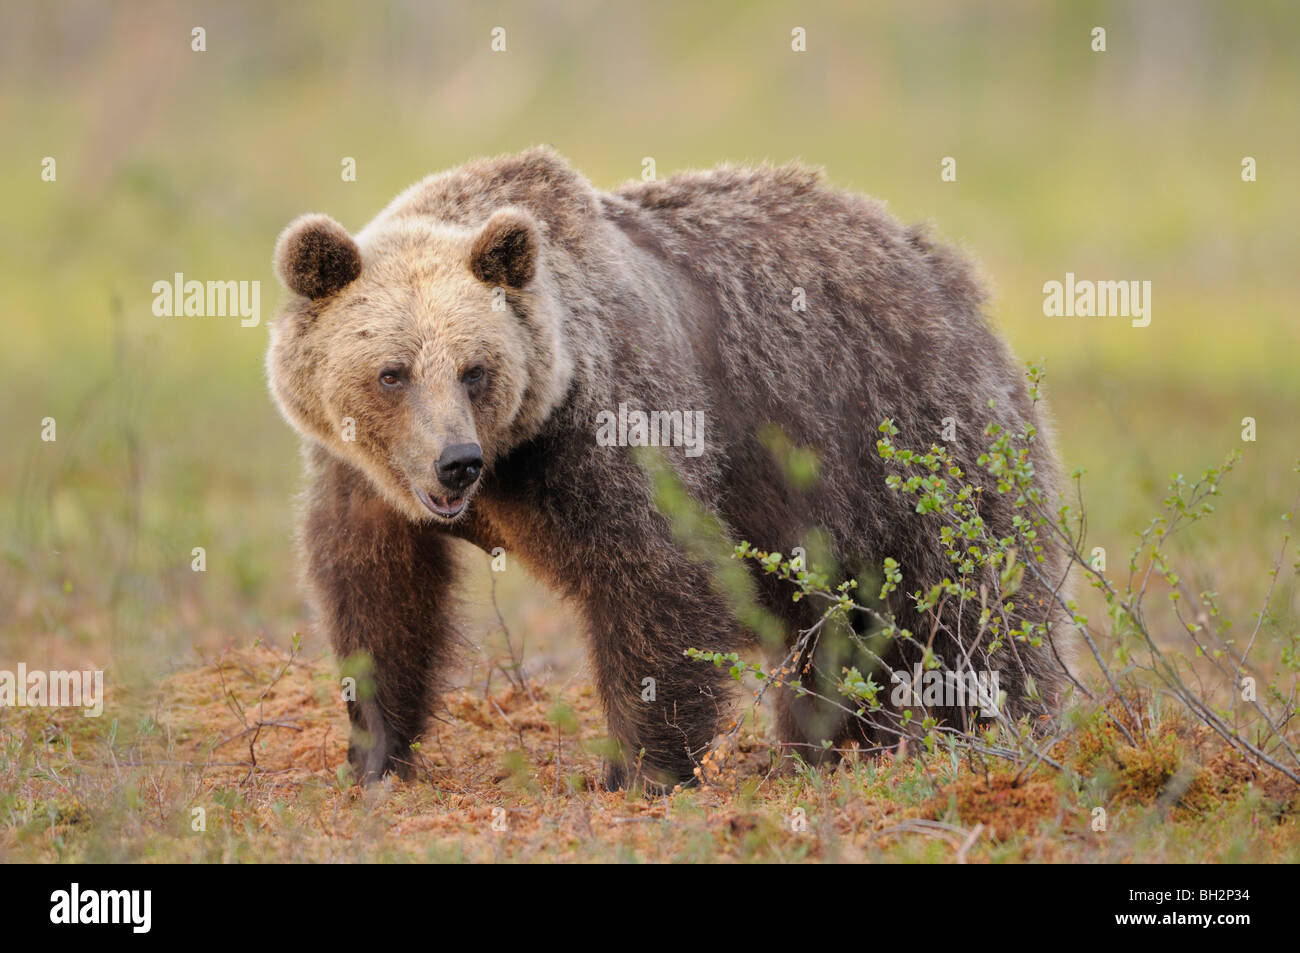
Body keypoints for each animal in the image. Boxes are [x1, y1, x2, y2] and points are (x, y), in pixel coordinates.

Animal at [263, 148, 1066, 790]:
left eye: (474, 370)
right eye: (391, 372)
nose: (456, 463)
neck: (518, 452)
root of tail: (936, 261)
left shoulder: (616, 424)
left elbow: (659, 578)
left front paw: (640, 772)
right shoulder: (362, 478)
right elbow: (376, 592)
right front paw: (373, 753)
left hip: (905, 433)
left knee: (965, 605)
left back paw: (985, 733)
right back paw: (833, 743)